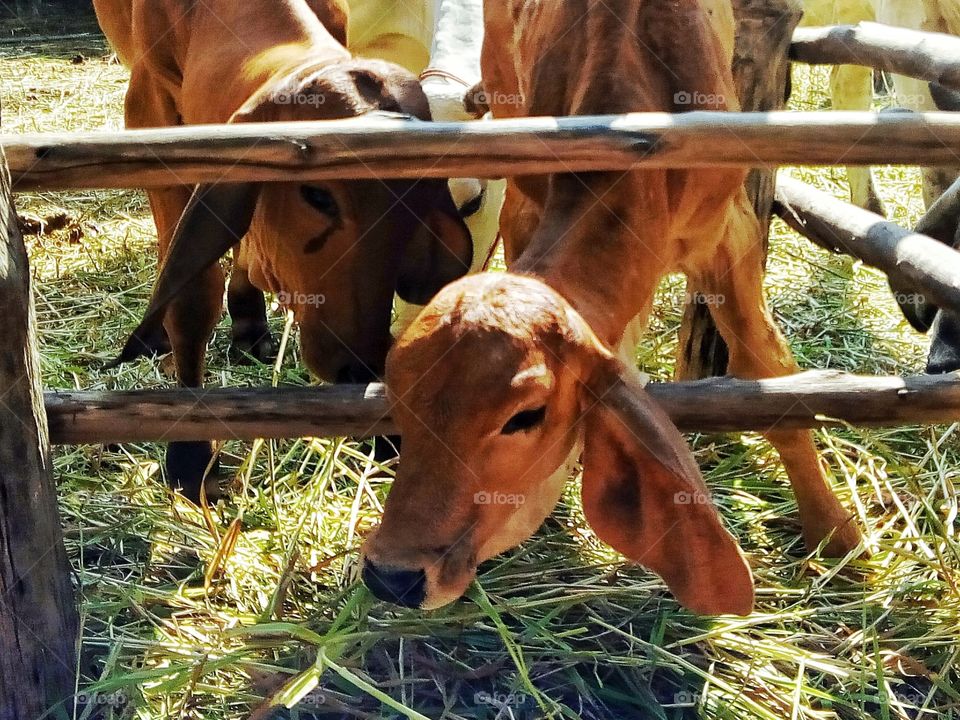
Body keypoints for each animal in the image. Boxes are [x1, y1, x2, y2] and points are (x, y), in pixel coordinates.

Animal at [93, 0, 472, 500]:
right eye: (318, 195)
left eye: (415, 209)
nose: (361, 366)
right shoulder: (149, 111)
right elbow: (191, 297)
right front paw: (190, 455)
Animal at [360, 0, 862, 616]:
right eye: (399, 396)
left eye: (525, 416)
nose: (392, 576)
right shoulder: (526, 202)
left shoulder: (728, 231)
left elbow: (771, 373)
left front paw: (835, 533)